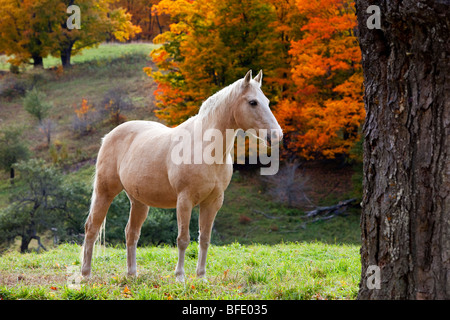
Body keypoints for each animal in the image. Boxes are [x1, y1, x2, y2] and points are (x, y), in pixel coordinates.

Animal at [81, 69, 282, 280]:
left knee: (131, 232)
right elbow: (183, 239)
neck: (205, 147)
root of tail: (109, 135)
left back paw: (132, 274)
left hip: (138, 201)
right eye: (253, 102)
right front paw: (180, 277)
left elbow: (205, 239)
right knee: (92, 228)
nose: (277, 135)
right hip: (105, 192)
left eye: (267, 101)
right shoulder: (185, 200)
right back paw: (86, 274)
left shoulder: (213, 202)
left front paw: (201, 277)